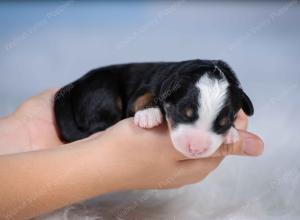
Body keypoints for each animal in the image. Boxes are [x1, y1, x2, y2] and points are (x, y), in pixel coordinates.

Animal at [54, 58, 253, 158]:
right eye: (182, 113)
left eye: (224, 123)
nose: (196, 149)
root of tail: (73, 86)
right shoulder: (144, 89)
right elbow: (146, 96)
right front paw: (149, 115)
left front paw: (232, 133)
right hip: (103, 91)